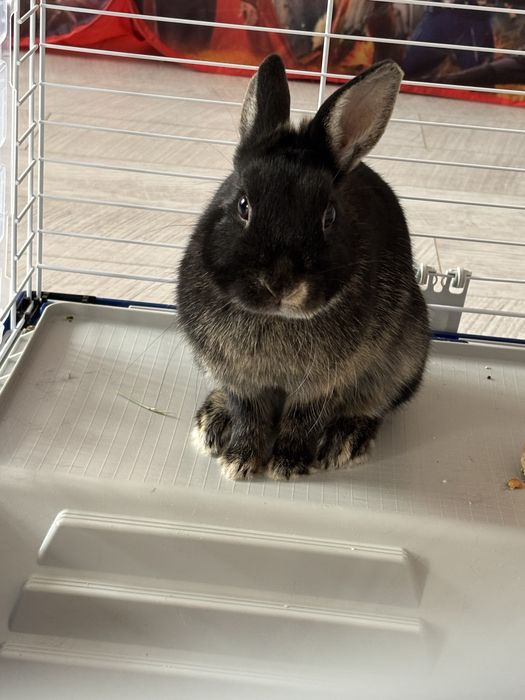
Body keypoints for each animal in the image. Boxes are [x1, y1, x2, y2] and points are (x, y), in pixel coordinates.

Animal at [176, 55, 430, 481]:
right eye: (243, 204)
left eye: (329, 216)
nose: (280, 283)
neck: (276, 320)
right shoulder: (238, 378)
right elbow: (249, 415)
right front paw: (239, 461)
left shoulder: (323, 385)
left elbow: (303, 420)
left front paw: (287, 464)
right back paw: (212, 421)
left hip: (405, 357)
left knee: (375, 402)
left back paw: (346, 441)